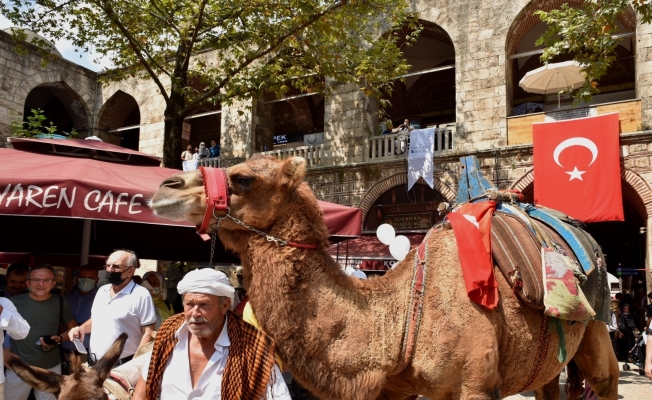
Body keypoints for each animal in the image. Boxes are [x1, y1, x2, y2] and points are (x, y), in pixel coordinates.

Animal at [148, 155, 616, 400]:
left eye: (243, 177)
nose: (164, 187)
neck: (402, 314)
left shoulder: (476, 384)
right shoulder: (395, 386)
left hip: (596, 320)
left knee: (604, 377)